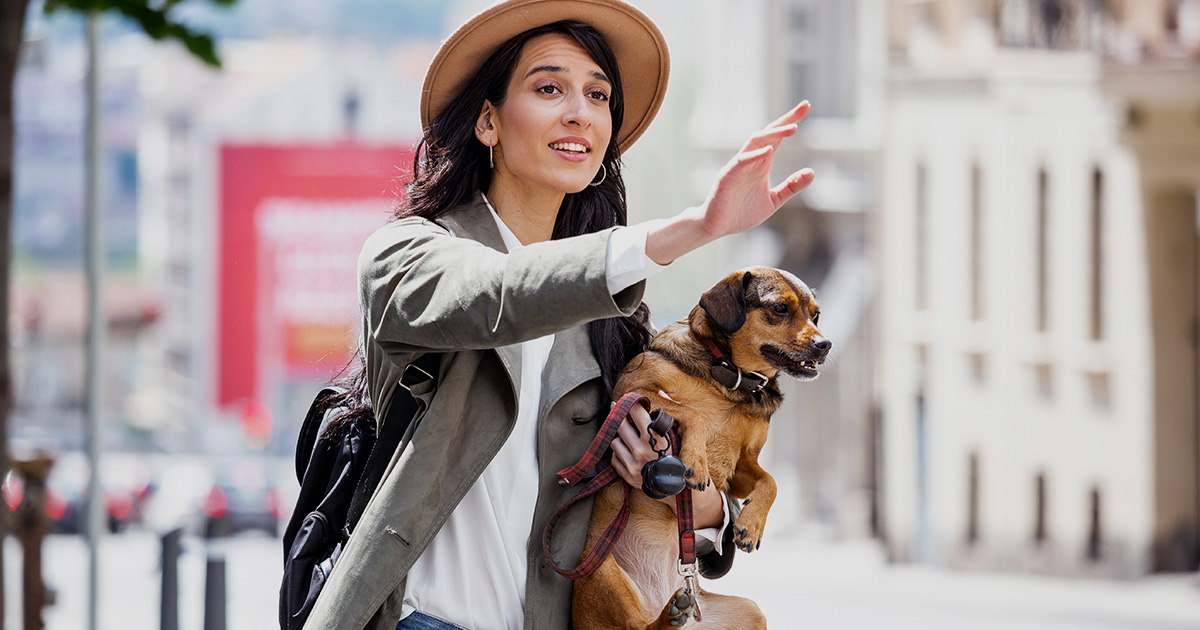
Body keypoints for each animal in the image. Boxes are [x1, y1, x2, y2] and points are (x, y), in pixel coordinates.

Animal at [571, 265, 825, 628]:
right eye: (779, 308)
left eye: (816, 315)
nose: (825, 344)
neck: (731, 380)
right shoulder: (634, 391)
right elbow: (693, 413)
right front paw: (696, 461)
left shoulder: (741, 466)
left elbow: (770, 482)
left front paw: (751, 525)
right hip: (600, 568)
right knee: (637, 626)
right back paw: (667, 614)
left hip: (750, 610)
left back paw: (675, 610)